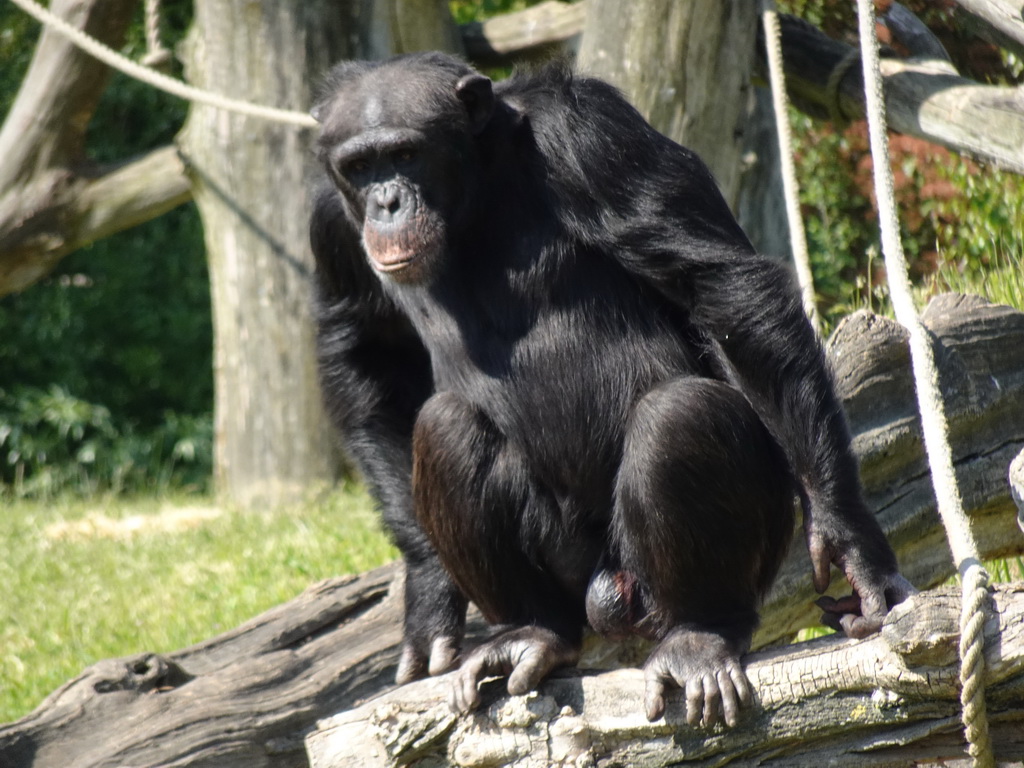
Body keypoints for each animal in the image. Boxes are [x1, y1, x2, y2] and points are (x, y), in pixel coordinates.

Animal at [307, 52, 917, 729]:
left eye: (407, 154)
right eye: (361, 166)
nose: (386, 200)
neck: (476, 191)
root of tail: (607, 597)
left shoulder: (592, 137)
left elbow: (723, 288)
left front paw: (847, 537)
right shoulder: (331, 220)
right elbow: (368, 352)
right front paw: (428, 586)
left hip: (704, 563)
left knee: (680, 413)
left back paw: (700, 635)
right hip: (572, 579)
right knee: (446, 426)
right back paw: (533, 630)